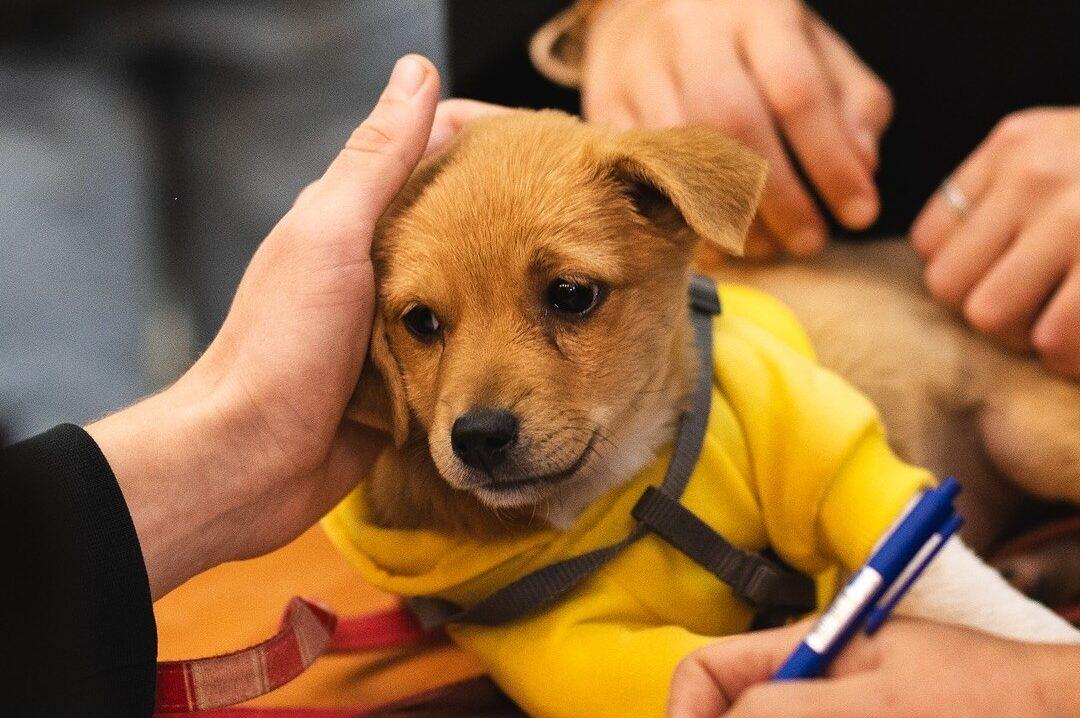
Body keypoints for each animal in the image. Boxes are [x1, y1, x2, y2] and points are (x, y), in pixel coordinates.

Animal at [323, 110, 1079, 717]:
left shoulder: (839, 463)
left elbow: (982, 608)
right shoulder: (586, 660)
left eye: (570, 294)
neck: (632, 491)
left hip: (1035, 435)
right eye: (420, 322)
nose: (477, 437)